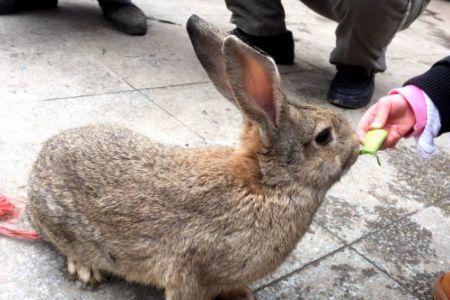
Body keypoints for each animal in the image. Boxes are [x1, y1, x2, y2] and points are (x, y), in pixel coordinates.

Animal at [27, 15, 358, 300]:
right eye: (324, 136)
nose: (357, 145)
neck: (268, 184)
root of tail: (36, 170)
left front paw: (243, 295)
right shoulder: (192, 272)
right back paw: (86, 269)